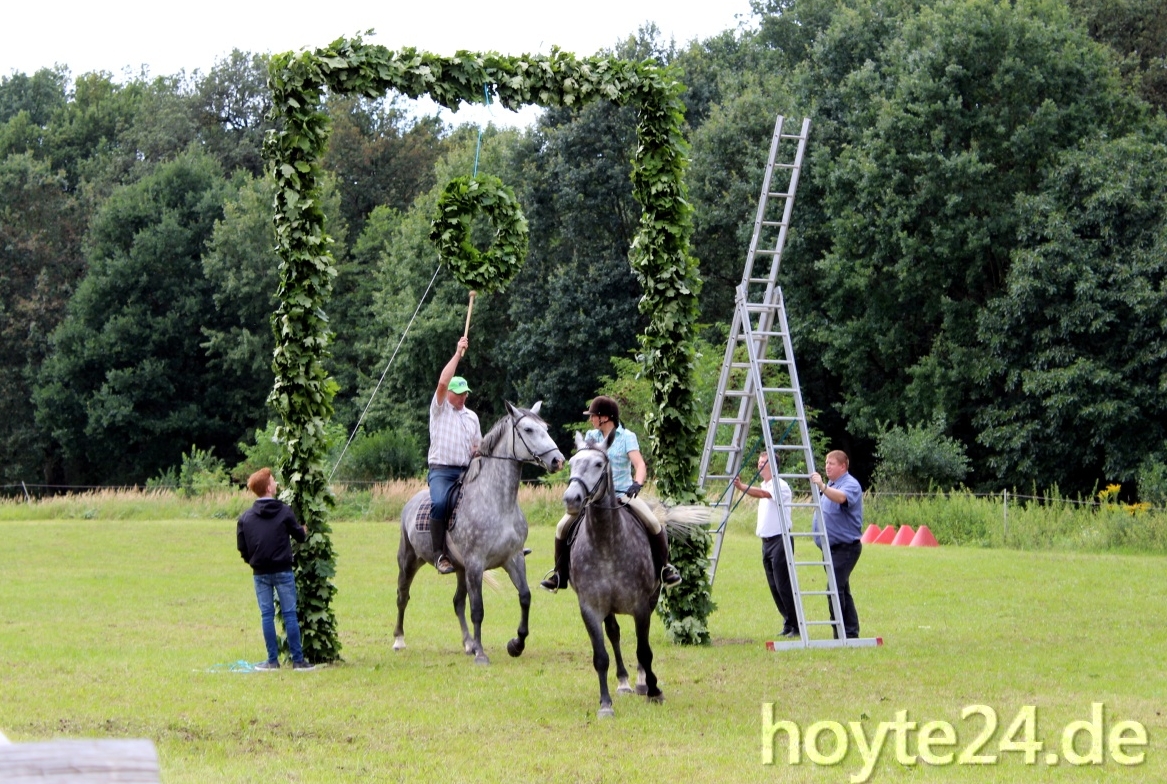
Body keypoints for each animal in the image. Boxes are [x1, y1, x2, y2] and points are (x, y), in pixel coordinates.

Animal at [396, 401, 564, 662]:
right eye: (528, 429)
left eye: (545, 428)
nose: (558, 460)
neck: (497, 502)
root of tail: (411, 502)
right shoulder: (475, 563)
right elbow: (478, 609)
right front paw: (482, 655)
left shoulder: (513, 558)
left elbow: (525, 597)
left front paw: (516, 644)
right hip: (409, 560)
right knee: (403, 596)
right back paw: (399, 640)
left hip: (460, 568)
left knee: (457, 602)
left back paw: (468, 643)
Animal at [564, 429, 667, 718]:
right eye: (572, 463)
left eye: (599, 464)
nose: (571, 499)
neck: (605, 542)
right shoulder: (590, 608)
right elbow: (601, 656)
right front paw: (605, 704)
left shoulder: (641, 606)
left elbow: (644, 651)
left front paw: (653, 690)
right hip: (609, 608)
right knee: (614, 634)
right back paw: (623, 683)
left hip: (650, 600)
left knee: (640, 644)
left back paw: (642, 682)